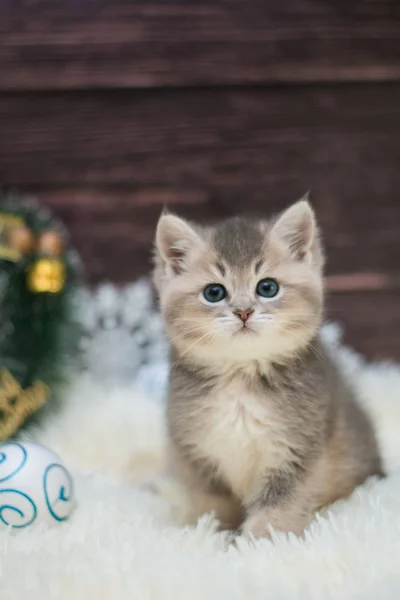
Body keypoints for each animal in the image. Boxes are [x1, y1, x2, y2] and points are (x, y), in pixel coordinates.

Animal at [152, 199, 382, 536]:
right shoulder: (195, 456)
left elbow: (277, 509)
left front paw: (259, 542)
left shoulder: (295, 454)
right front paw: (211, 534)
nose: (243, 311)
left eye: (267, 287)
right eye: (214, 293)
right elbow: (212, 506)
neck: (240, 378)